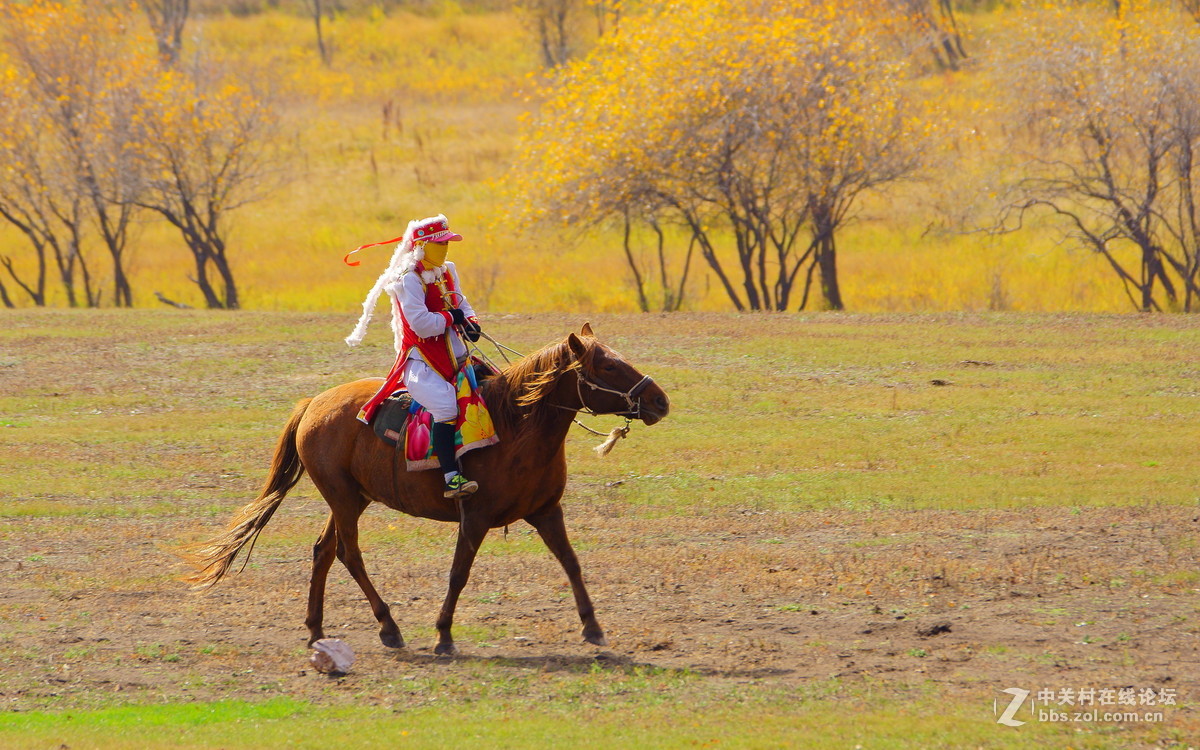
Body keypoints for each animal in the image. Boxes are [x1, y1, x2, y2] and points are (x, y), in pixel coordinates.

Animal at [180, 321, 667, 652]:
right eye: (608, 365)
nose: (660, 400)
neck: (517, 427)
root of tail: (313, 403)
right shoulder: (475, 518)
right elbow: (458, 574)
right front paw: (443, 634)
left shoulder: (547, 511)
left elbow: (571, 564)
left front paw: (592, 626)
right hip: (343, 498)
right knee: (348, 554)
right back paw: (388, 626)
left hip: (352, 499)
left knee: (323, 551)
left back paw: (316, 628)